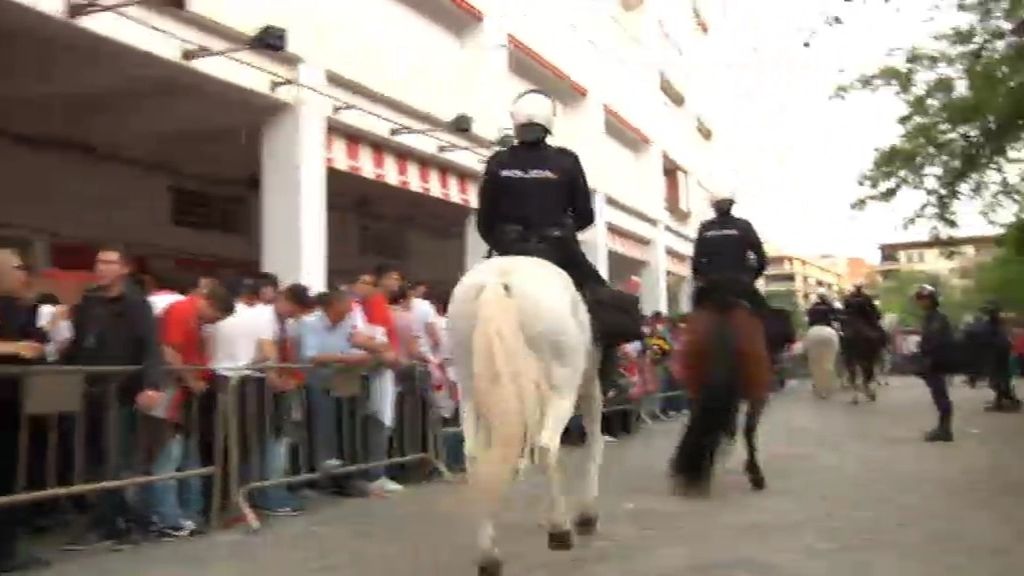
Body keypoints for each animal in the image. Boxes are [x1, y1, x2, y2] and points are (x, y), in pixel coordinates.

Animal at [446, 255, 598, 573]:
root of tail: (497, 281)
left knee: (474, 457)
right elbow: (594, 438)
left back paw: (489, 556)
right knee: (547, 447)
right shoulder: (590, 379)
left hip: (468, 387)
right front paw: (586, 515)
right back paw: (560, 529)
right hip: (563, 384)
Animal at [671, 291, 770, 494]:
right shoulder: (758, 394)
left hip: (695, 386)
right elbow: (748, 429)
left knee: (700, 421)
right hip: (757, 389)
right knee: (748, 430)